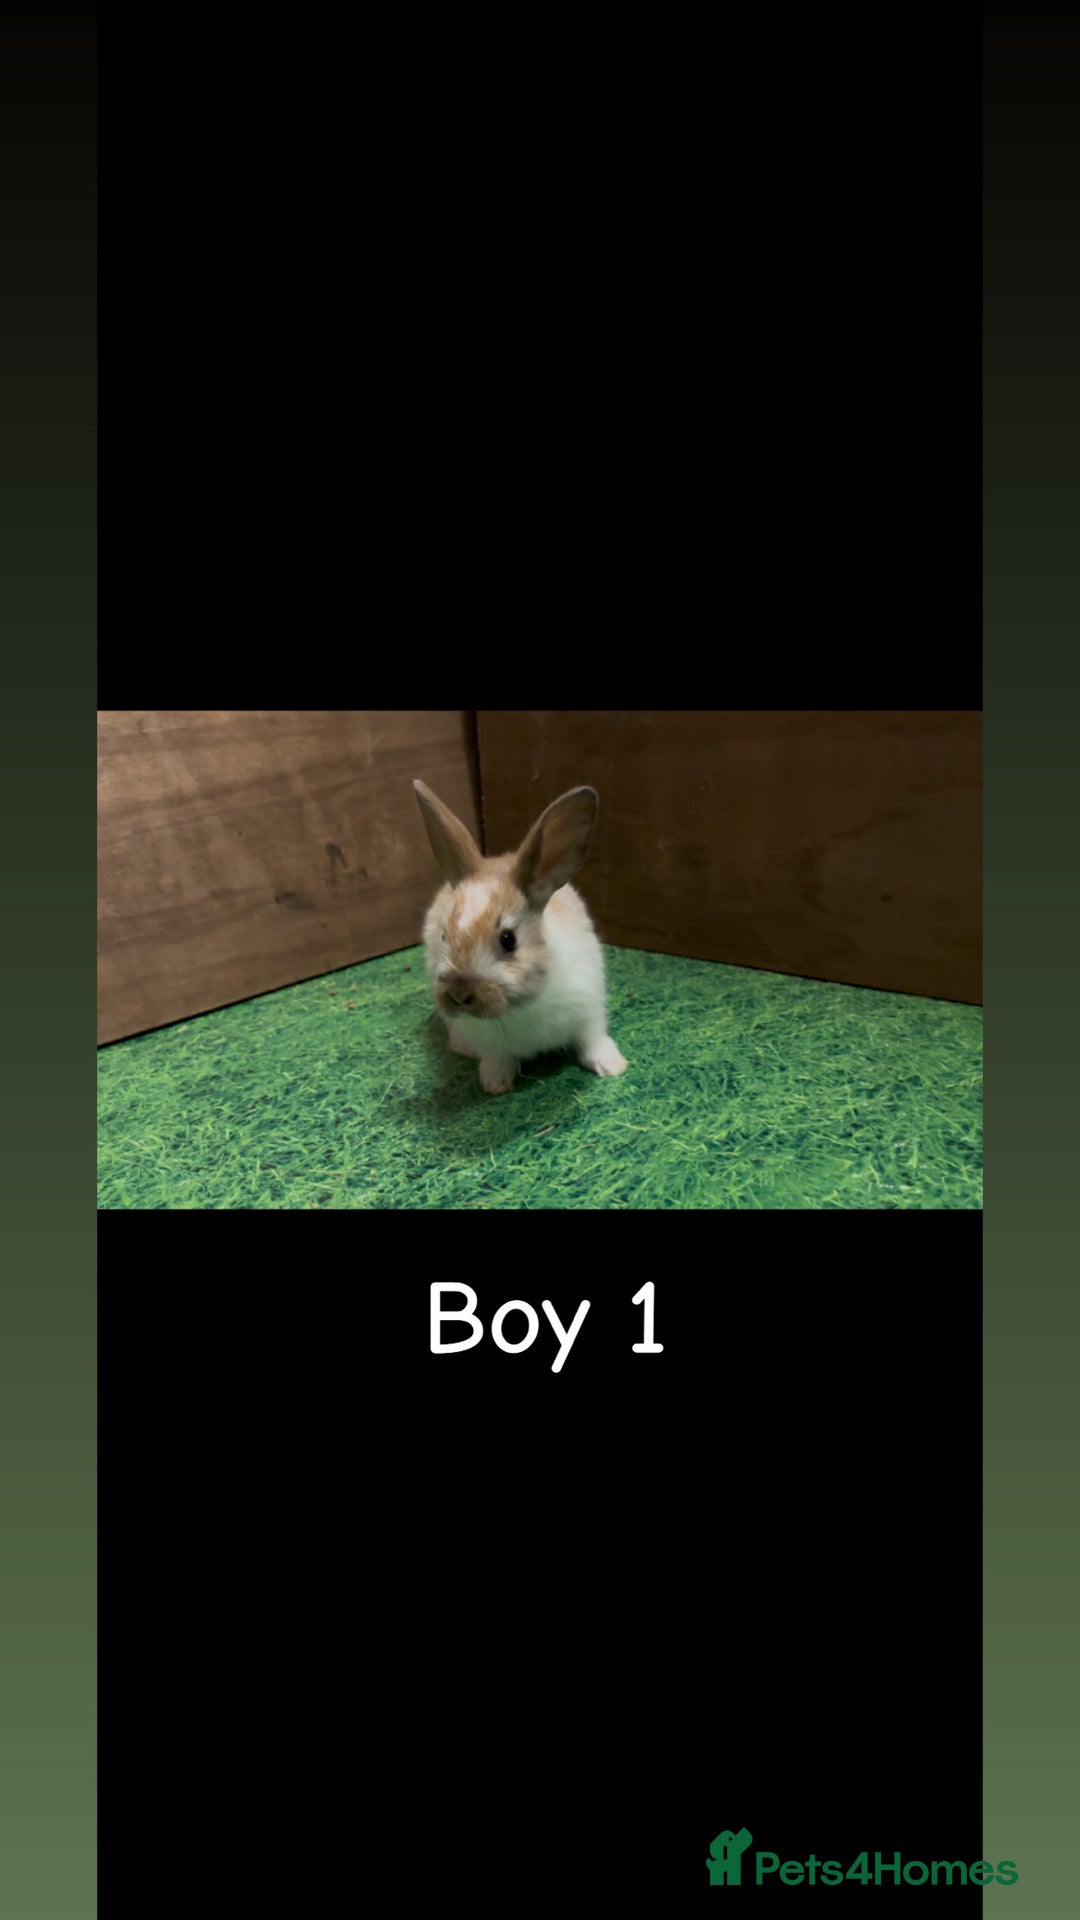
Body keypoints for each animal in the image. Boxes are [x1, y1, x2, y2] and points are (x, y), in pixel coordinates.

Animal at [413, 779, 628, 1095]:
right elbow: (497, 1059)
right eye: (444, 936)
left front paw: (612, 1066)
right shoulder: (490, 1044)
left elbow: (592, 1040)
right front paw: (495, 1084)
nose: (458, 994)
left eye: (508, 939)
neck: (522, 1008)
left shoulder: (590, 1011)